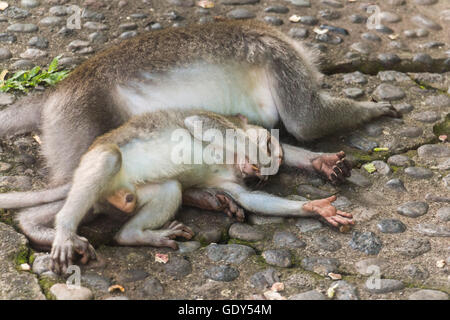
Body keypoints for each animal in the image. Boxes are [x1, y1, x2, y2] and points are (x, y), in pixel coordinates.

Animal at [0, 21, 398, 241]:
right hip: (78, 121)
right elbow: (306, 120)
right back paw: (39, 226)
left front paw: (319, 162)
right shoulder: (280, 55)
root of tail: (56, 92)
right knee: (80, 188)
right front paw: (375, 108)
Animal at [48, 109, 352, 272]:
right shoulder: (217, 122)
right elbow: (198, 122)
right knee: (109, 158)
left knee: (169, 190)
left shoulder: (230, 180)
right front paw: (257, 157)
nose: (257, 171)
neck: (229, 160)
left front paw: (315, 208)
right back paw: (65, 230)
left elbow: (248, 199)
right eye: (267, 142)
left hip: (127, 193)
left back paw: (136, 235)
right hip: (98, 167)